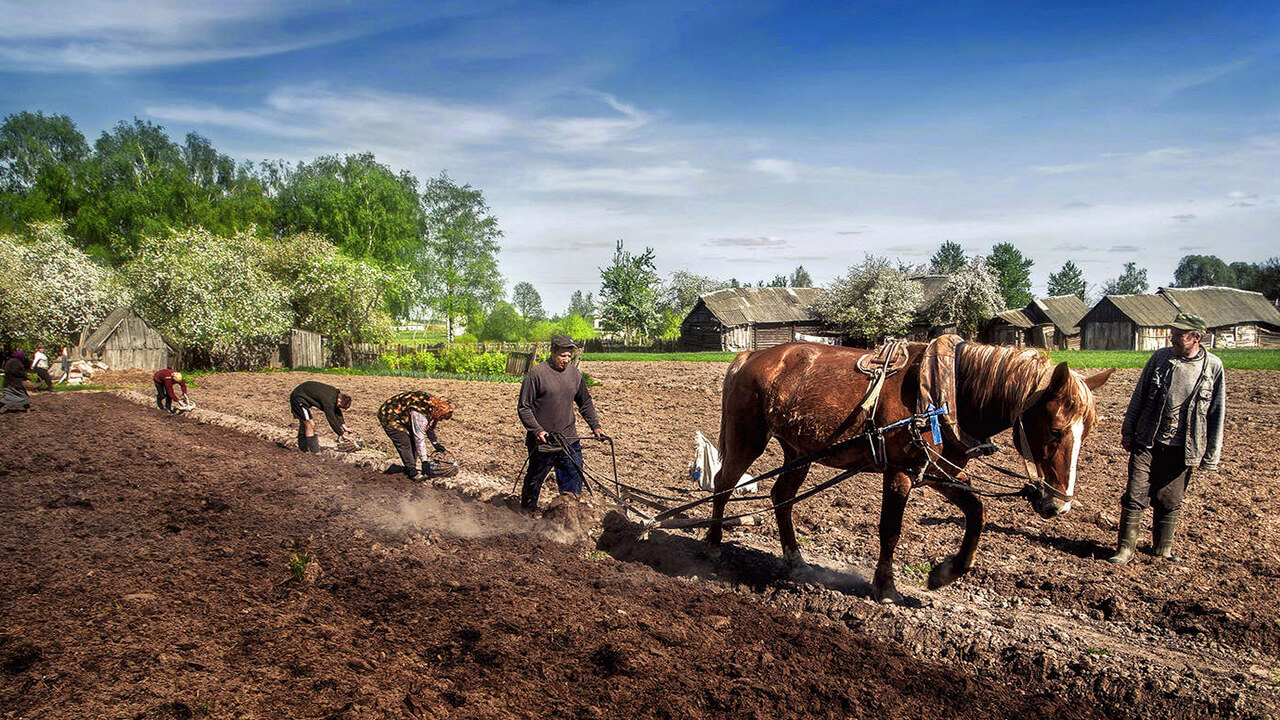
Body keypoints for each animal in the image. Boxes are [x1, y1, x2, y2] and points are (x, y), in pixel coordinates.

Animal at [706, 335, 1116, 599]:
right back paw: (712, 546)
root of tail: (750, 357)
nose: (1058, 503)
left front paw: (945, 574)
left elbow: (977, 512)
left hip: (797, 451)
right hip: (748, 438)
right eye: (1056, 430)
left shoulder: (938, 471)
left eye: (1088, 430)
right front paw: (886, 587)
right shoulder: (900, 471)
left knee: (782, 497)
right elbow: (890, 530)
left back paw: (795, 560)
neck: (944, 395)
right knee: (723, 483)